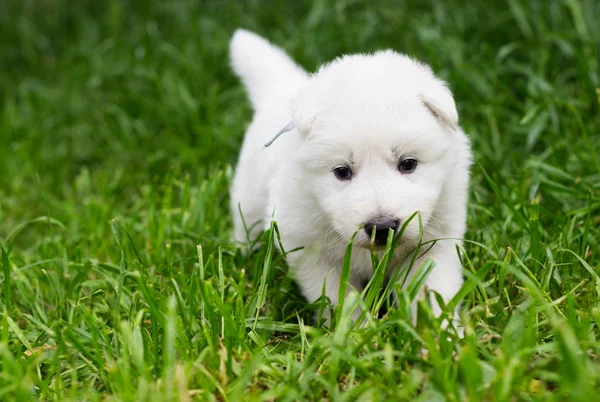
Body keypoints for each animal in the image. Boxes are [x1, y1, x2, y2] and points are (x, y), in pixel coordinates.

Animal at [227, 28, 472, 324]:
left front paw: (440, 330)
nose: (382, 227)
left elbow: (432, 290)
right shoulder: (311, 251)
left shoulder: (436, 242)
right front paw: (354, 330)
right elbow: (339, 298)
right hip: (249, 197)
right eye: (342, 171)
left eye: (408, 164)